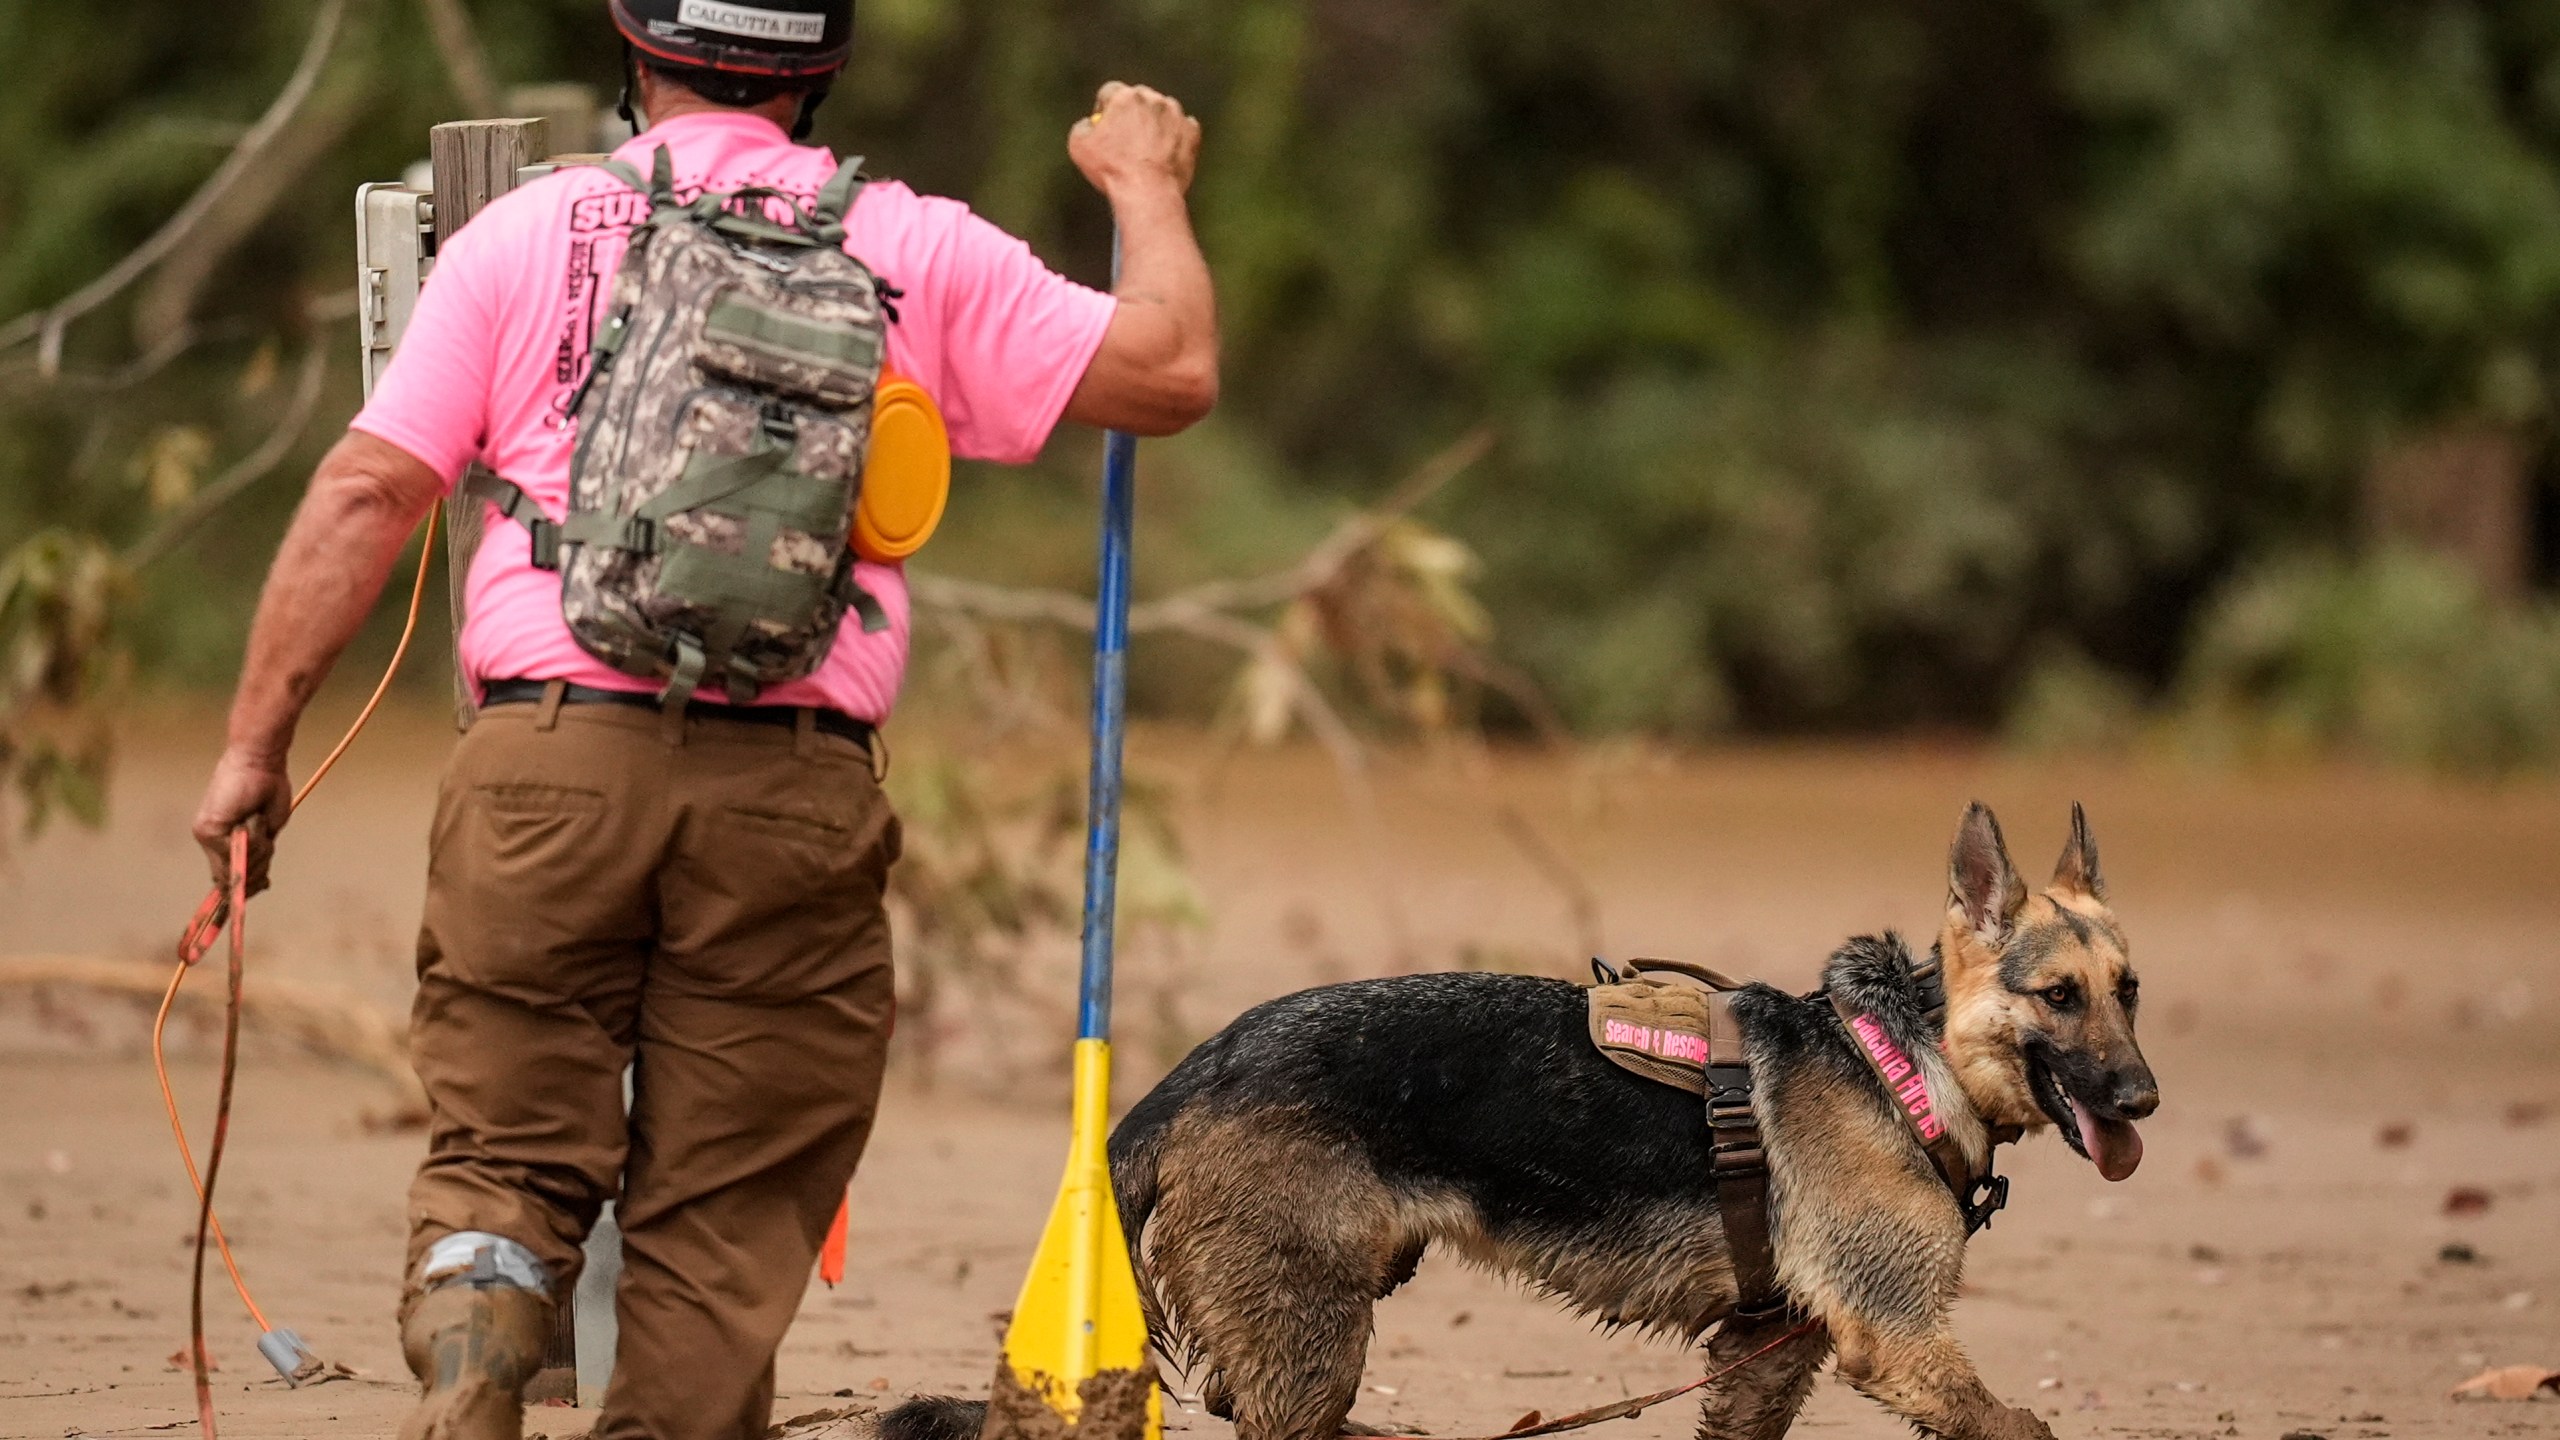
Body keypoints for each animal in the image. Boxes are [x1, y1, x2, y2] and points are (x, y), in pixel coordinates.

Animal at [890, 799, 2150, 1424]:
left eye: (2129, 990)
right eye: (2058, 997)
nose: (2142, 1097)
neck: (1903, 1057)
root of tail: (1188, 1075)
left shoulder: (1761, 1359)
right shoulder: (1896, 1342)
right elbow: (2022, 1428)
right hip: (1314, 1337)